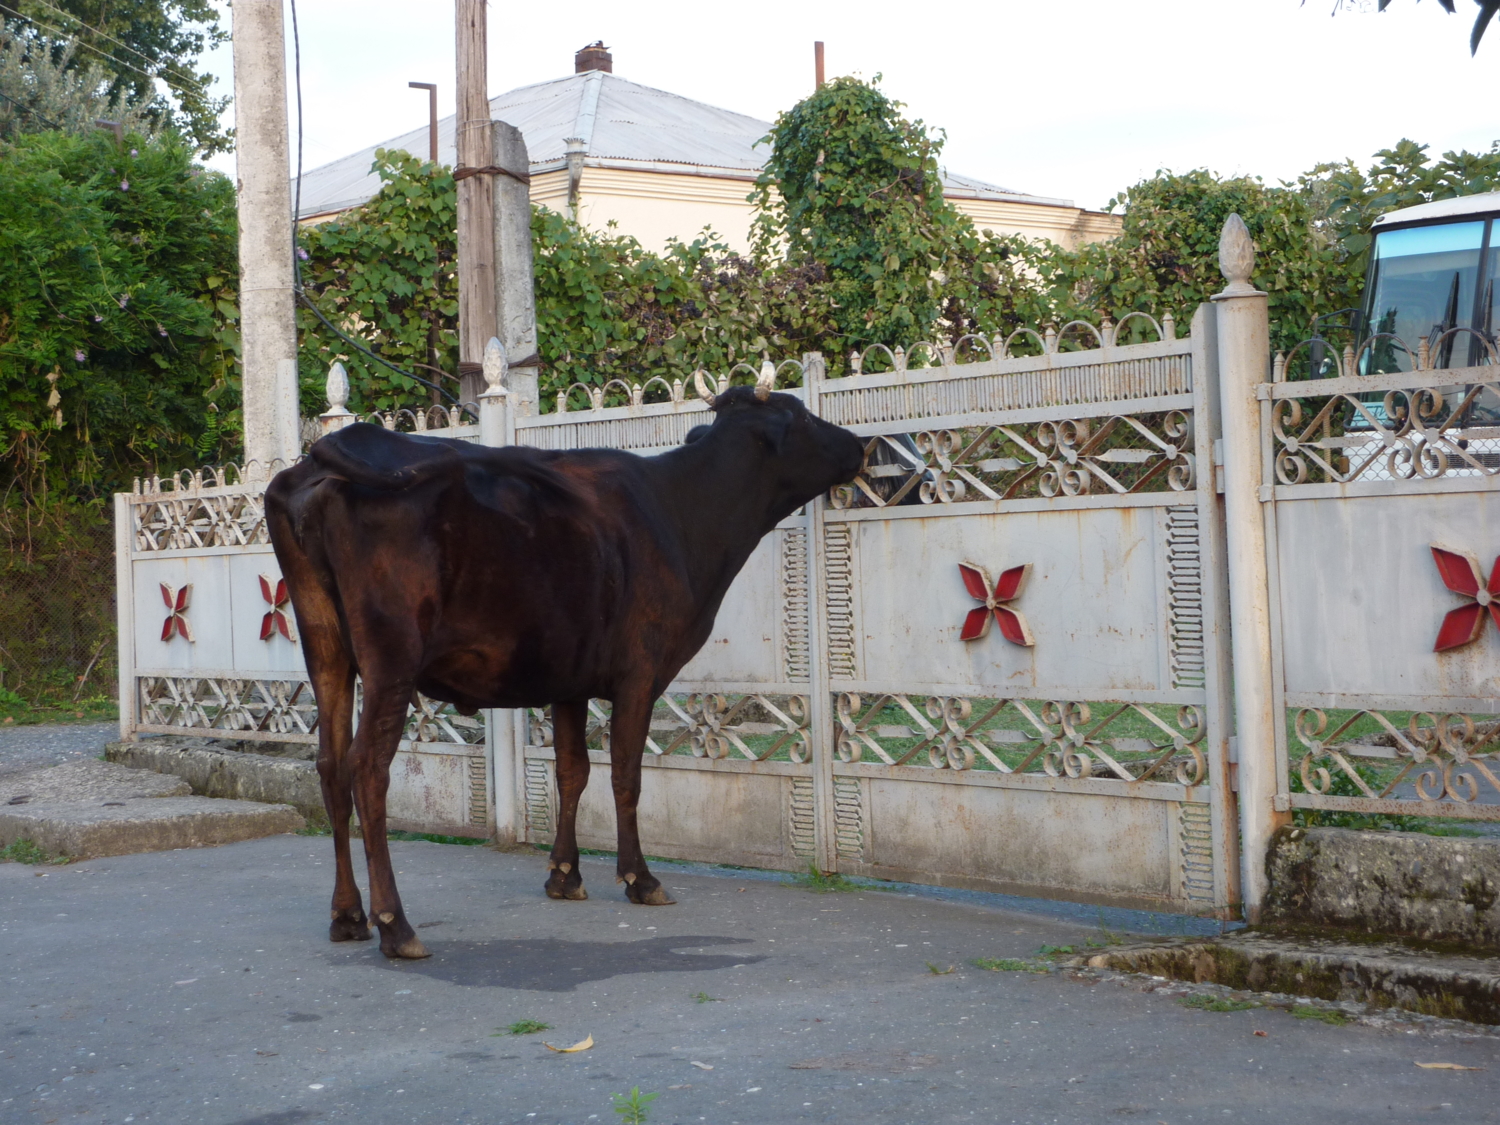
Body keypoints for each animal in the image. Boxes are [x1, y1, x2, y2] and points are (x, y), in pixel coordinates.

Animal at [264, 375, 864, 954]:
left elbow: (571, 772)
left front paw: (564, 873)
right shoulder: (640, 673)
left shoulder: (570, 679)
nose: (860, 445)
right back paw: (395, 924)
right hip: (391, 658)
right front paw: (640, 878)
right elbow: (625, 775)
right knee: (368, 768)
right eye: (801, 415)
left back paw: (348, 916)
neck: (680, 510)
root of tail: (326, 454)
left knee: (330, 764)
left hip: (326, 649)